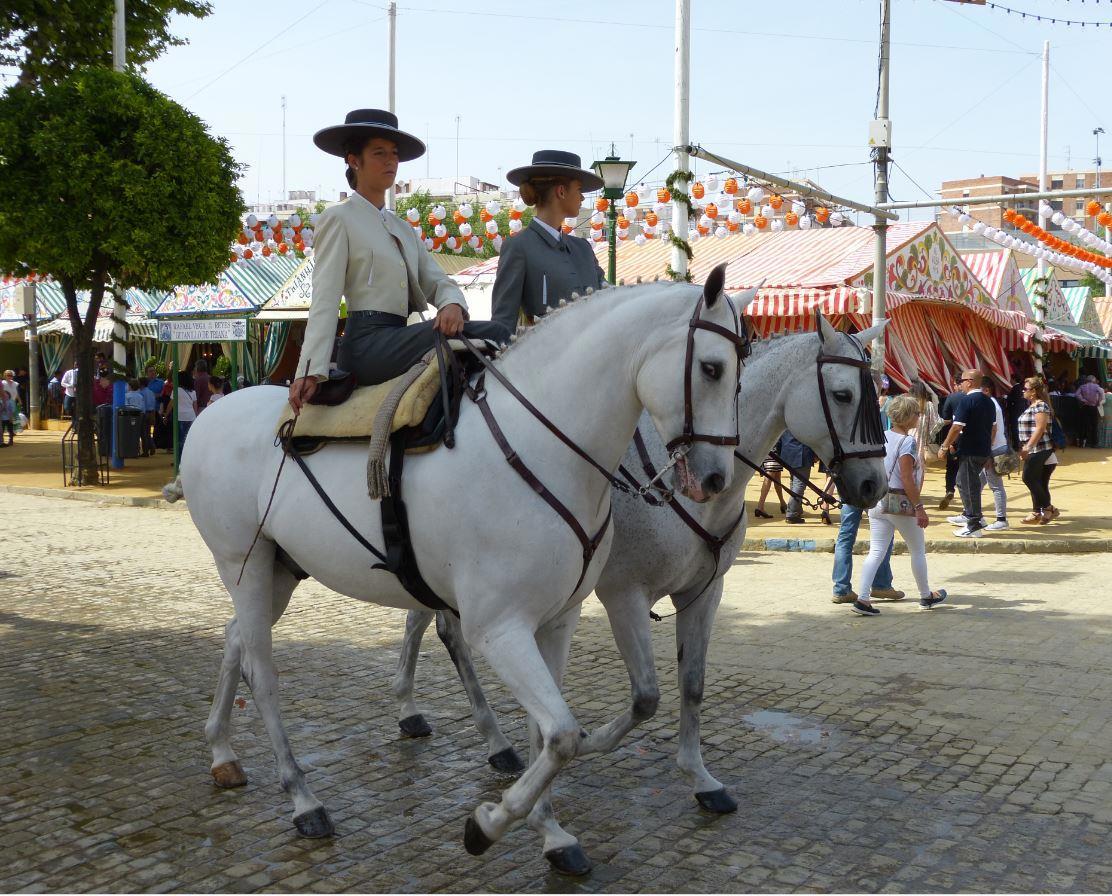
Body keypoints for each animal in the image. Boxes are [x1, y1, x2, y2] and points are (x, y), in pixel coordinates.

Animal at [175, 267, 754, 874]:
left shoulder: (557, 620)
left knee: (235, 638)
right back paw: (303, 798)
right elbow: (563, 734)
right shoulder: (499, 629)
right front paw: (489, 824)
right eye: (712, 368)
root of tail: (215, 412)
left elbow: (549, 731)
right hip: (243, 567)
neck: (541, 450)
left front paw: (551, 833)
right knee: (261, 672)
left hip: (278, 573)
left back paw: (221, 751)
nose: (715, 479)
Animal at [391, 315, 889, 817]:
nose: (874, 486)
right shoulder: (624, 596)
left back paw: (415, 712)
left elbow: (692, 683)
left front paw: (701, 778)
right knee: (449, 633)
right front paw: (589, 742)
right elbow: (646, 696)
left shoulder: (705, 593)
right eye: (844, 395)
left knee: (421, 622)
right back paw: (487, 736)